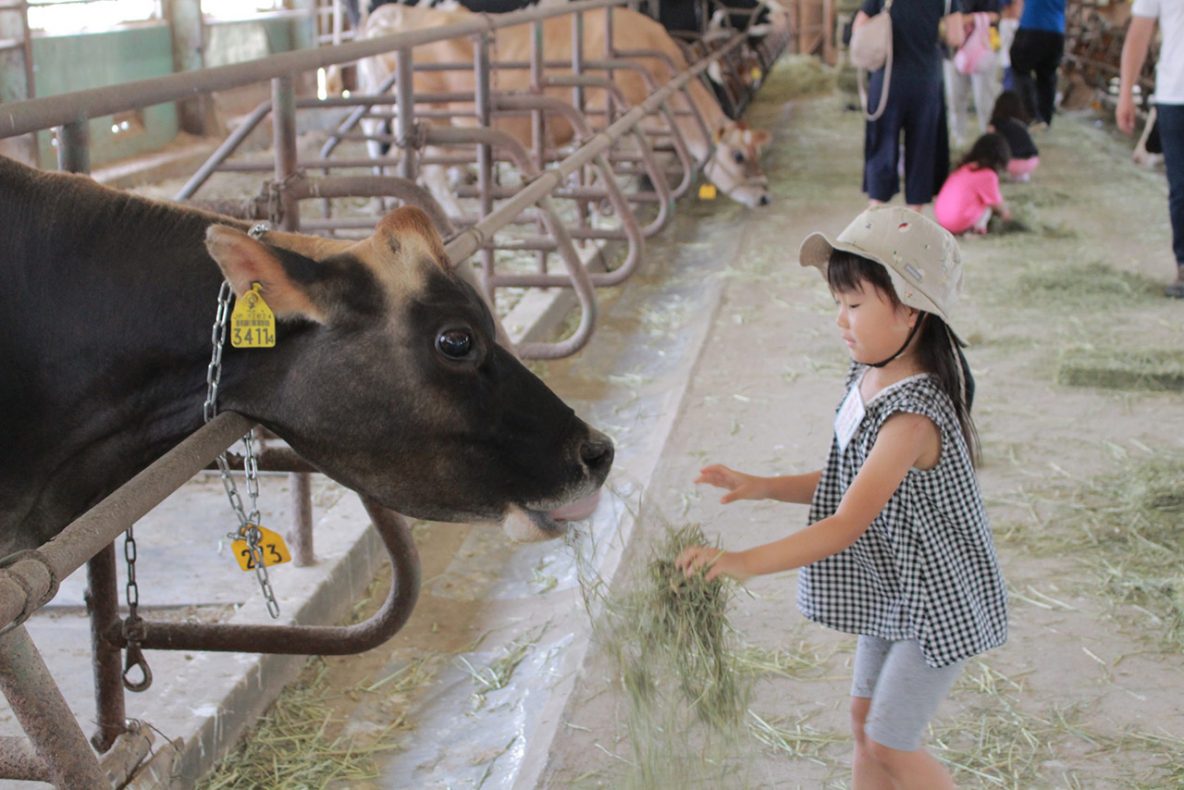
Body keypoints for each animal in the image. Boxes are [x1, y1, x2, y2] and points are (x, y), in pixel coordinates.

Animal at [355, 1, 771, 209]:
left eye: (756, 154)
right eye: (738, 157)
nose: (765, 197)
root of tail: (387, 15)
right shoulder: (599, 114)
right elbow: (597, 160)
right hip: (432, 120)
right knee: (430, 175)